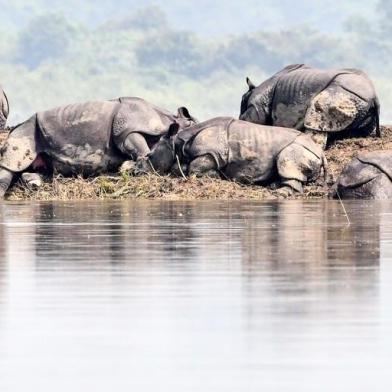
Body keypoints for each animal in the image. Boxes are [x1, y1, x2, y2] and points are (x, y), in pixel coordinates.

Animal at [0, 97, 196, 198]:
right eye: (191, 126)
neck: (167, 119)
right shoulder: (126, 130)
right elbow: (138, 147)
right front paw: (135, 166)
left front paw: (127, 167)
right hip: (26, 129)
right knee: (13, 162)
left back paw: (34, 182)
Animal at [138, 118, 328, 194]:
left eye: (150, 155)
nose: (136, 171)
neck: (178, 142)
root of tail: (321, 152)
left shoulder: (212, 153)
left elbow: (194, 167)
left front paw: (215, 176)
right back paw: (273, 185)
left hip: (299, 148)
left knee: (287, 160)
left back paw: (280, 193)